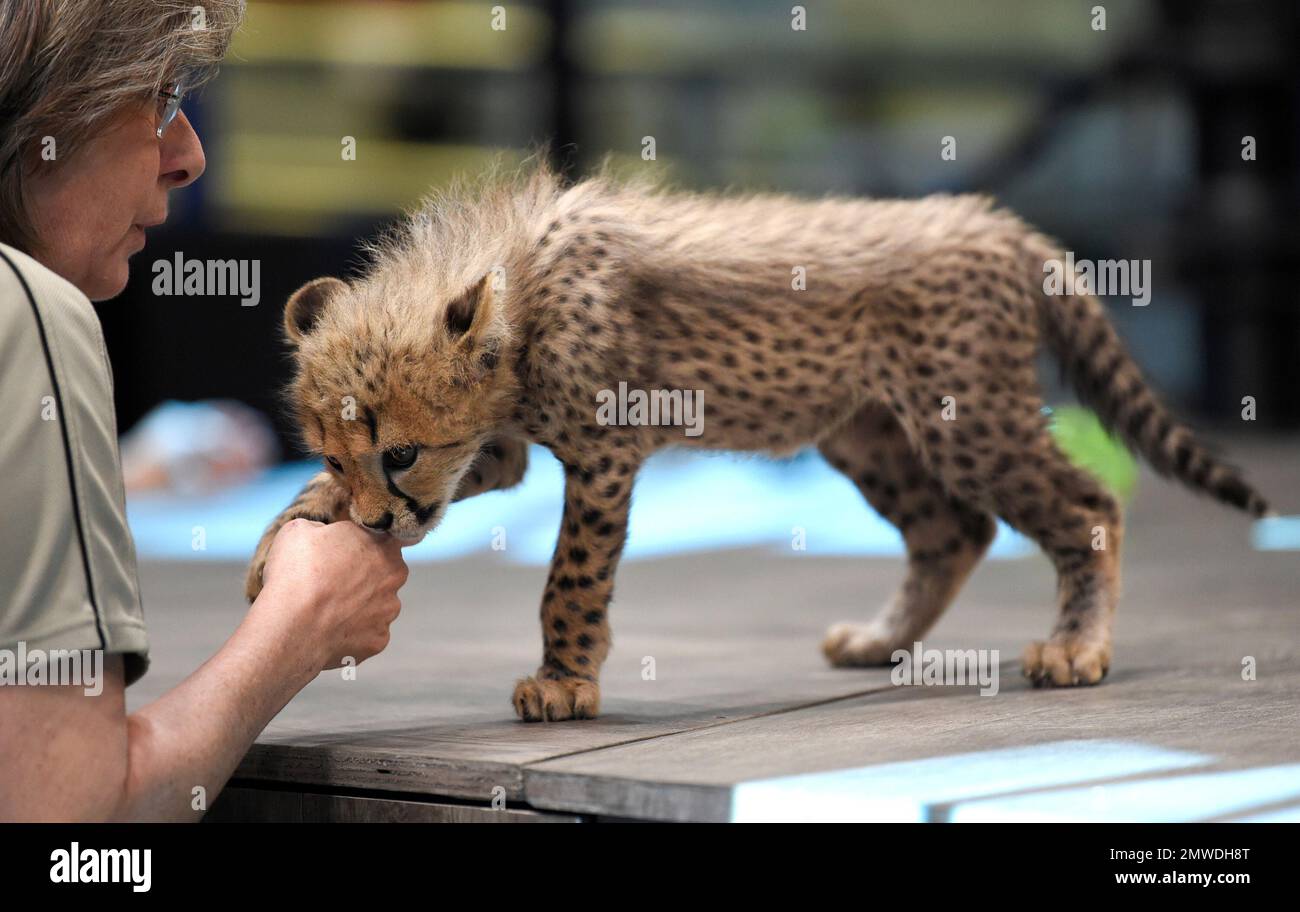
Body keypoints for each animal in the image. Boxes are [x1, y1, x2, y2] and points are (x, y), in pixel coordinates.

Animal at [244, 163, 1269, 722]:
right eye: (335, 454)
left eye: (400, 452)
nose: (383, 526)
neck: (520, 289)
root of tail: (994, 220)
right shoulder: (503, 447)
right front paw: (279, 546)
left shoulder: (604, 451)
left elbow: (569, 579)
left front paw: (564, 682)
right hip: (867, 431)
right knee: (955, 532)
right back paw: (881, 640)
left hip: (967, 417)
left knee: (1086, 504)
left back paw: (1076, 647)